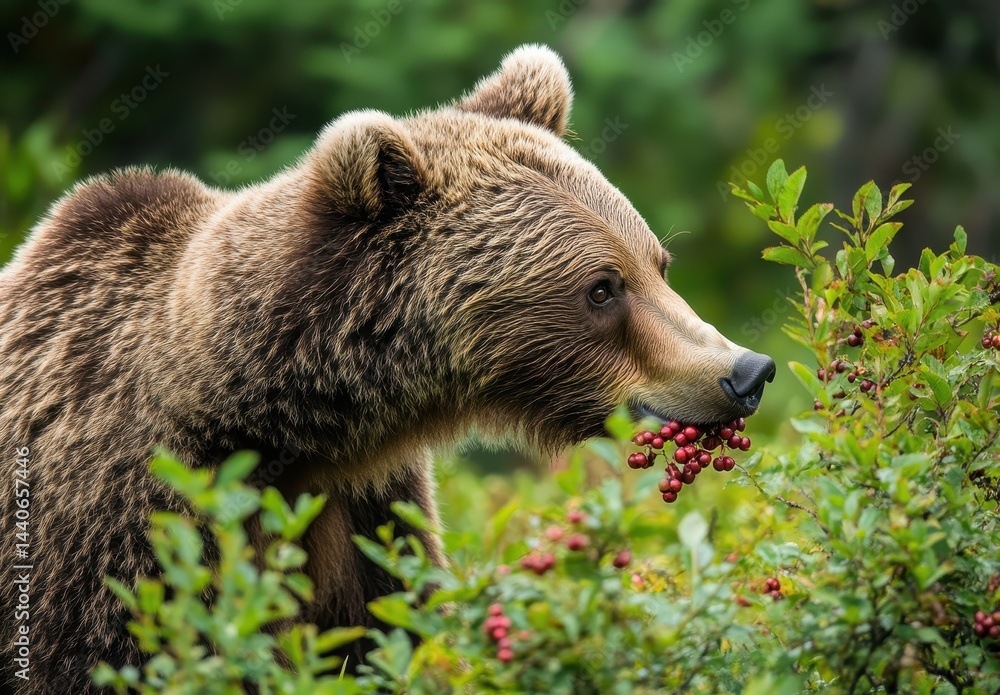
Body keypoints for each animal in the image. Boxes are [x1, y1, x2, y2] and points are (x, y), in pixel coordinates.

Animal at [0, 44, 774, 693]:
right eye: (602, 288)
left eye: (658, 262)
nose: (747, 370)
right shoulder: (120, 533)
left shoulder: (367, 510)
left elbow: (389, 630)